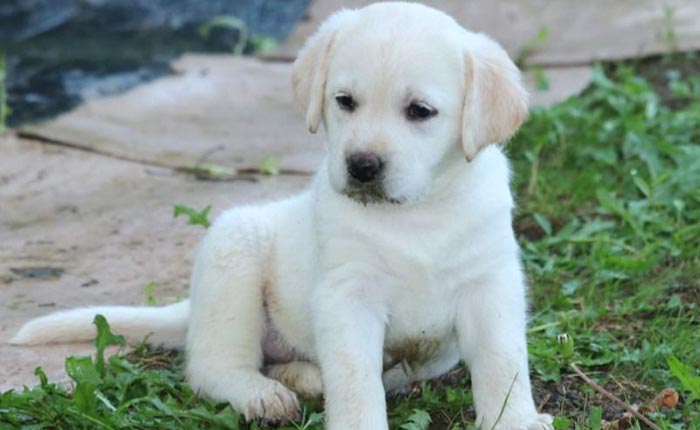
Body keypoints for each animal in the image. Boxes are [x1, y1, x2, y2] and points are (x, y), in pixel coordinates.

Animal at [12, 3, 552, 430]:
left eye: (420, 111)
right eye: (344, 102)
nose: (361, 166)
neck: (418, 213)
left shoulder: (491, 284)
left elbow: (503, 363)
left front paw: (516, 420)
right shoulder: (347, 297)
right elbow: (356, 382)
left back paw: (305, 377)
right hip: (233, 255)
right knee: (211, 366)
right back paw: (262, 394)